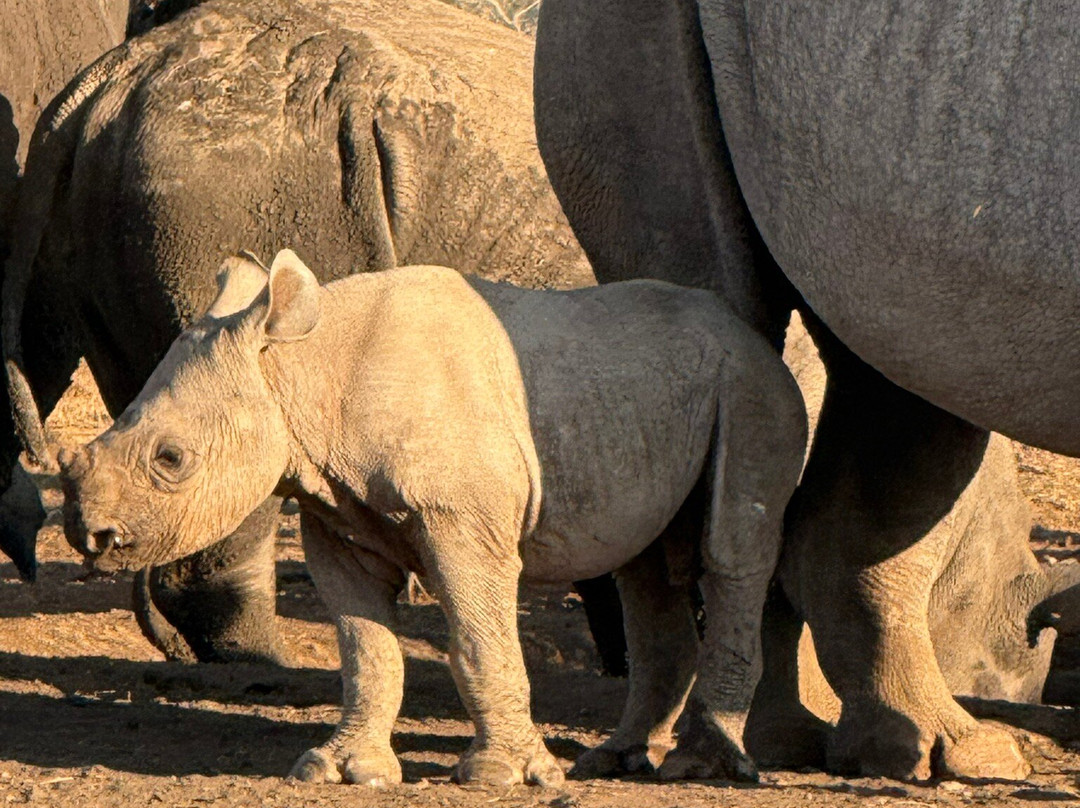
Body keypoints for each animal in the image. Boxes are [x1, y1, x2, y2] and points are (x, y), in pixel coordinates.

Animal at [56, 249, 803, 786]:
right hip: (652, 394)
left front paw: (500, 777)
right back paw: (616, 761)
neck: (301, 373)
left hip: (754, 385)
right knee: (643, 564)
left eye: (171, 459)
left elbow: (477, 639)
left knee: (731, 548)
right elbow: (367, 649)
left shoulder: (464, 522)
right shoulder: (337, 514)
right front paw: (341, 771)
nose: (90, 534)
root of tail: (750, 333)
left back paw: (699, 767)